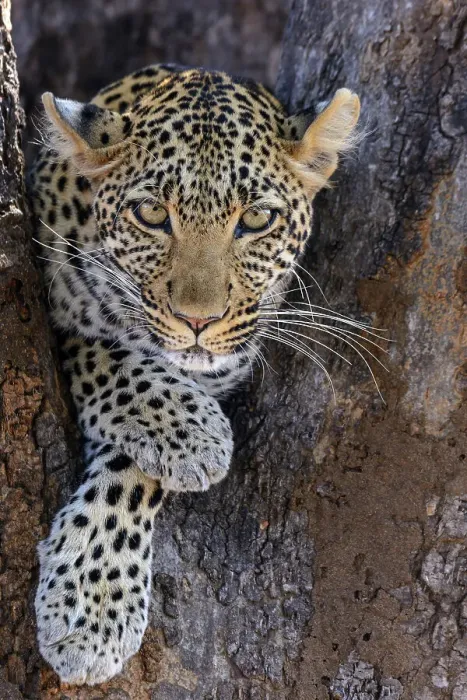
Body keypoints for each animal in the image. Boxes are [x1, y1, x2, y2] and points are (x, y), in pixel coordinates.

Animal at [29, 63, 360, 685]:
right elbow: (105, 352)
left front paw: (92, 605)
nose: (198, 321)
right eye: (152, 215)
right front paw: (188, 430)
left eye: (256, 219)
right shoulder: (58, 310)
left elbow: (130, 472)